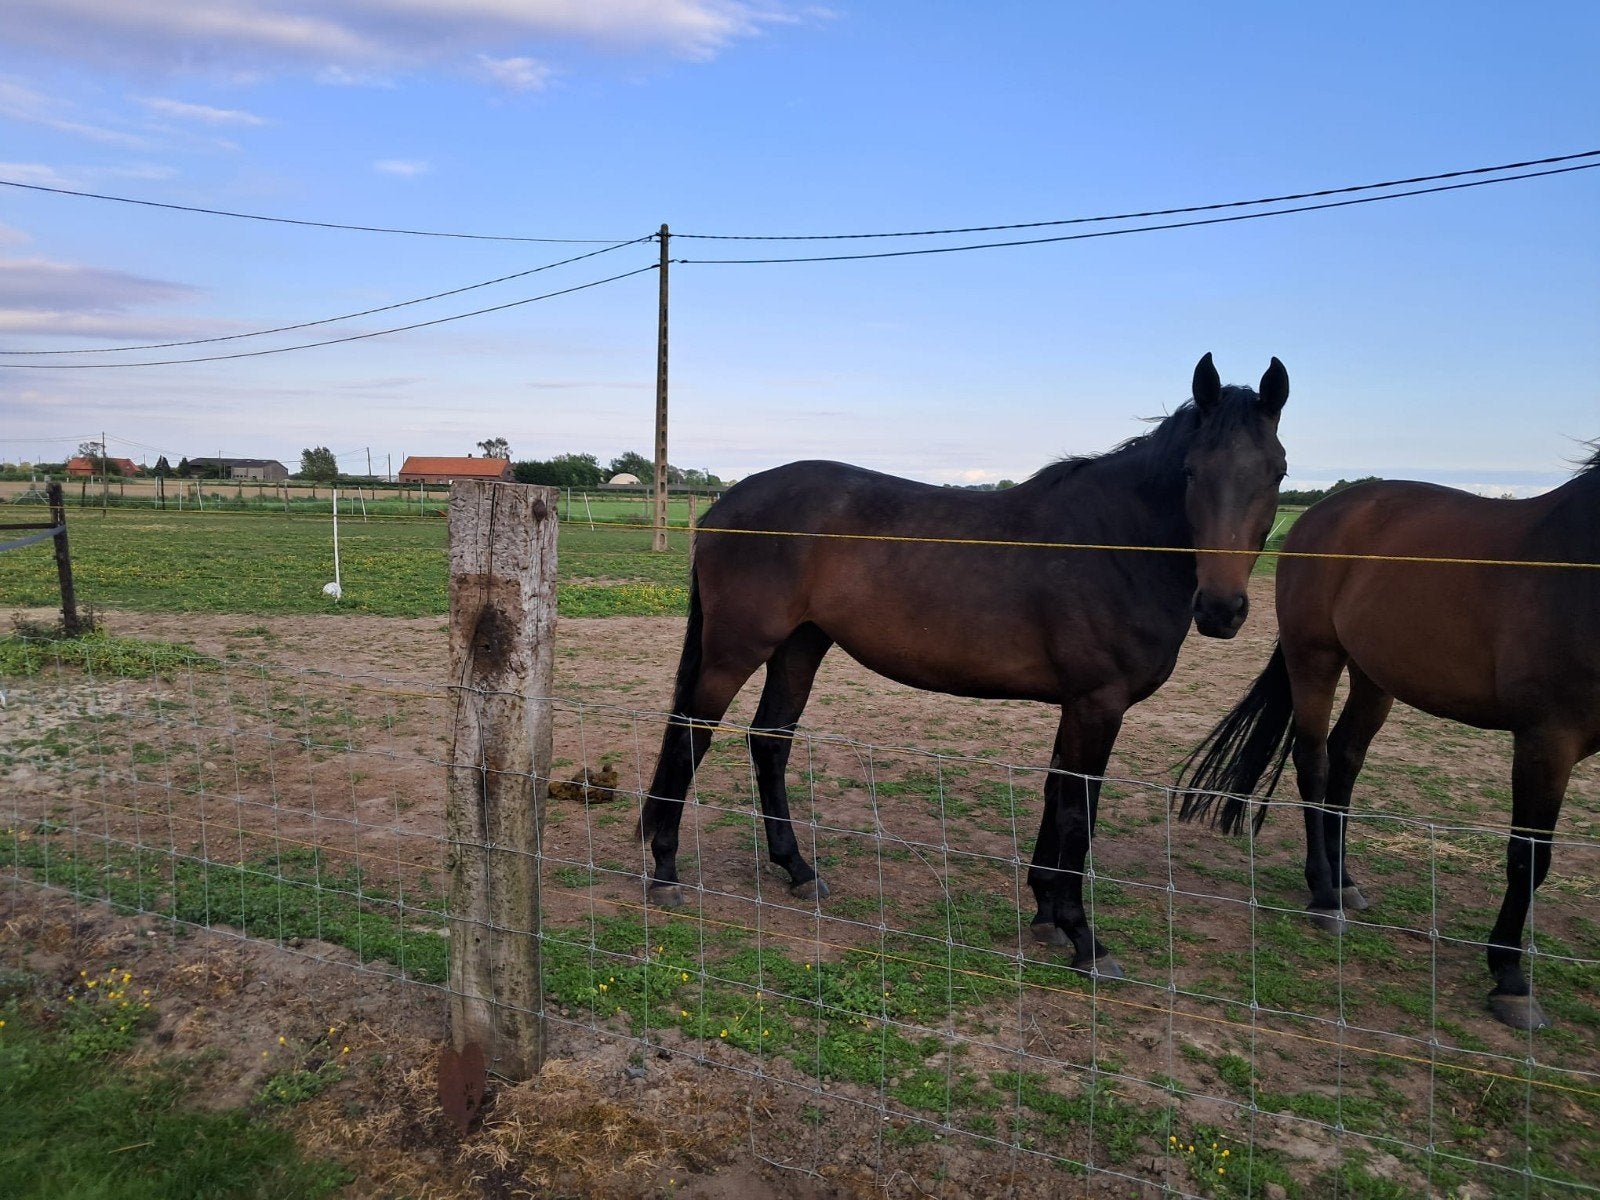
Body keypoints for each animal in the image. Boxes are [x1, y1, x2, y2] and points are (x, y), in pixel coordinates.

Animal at [638, 353, 1289, 977]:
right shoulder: (1099, 704)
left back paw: (797, 869)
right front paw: (1085, 939)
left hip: (801, 647)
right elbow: (1077, 812)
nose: (1221, 609)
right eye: (1191, 472)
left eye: (1277, 472)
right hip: (737, 650)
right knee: (691, 735)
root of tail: (726, 505)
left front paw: (1047, 913)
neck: (1113, 545)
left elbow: (1056, 794)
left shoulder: (1077, 706)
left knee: (769, 741)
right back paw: (666, 870)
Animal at [1176, 448, 1600, 1029]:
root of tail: (1325, 511)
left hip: (1374, 677)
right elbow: (1528, 856)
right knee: (1314, 762)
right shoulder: (1547, 739)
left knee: (1344, 759)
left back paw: (1341, 880)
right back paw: (1324, 895)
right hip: (1315, 657)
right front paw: (1511, 978)